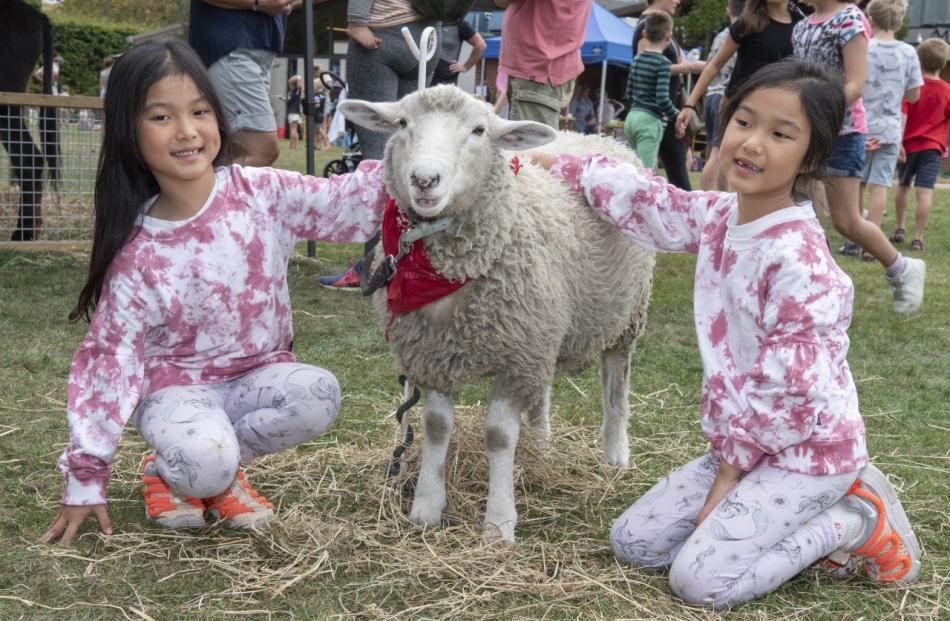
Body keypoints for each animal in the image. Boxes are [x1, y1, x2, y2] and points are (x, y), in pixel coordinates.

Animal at [338, 85, 660, 540]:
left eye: (479, 130)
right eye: (402, 124)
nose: (424, 180)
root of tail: (599, 137)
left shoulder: (514, 359)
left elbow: (499, 437)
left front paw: (499, 523)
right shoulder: (437, 355)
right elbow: (435, 426)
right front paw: (426, 507)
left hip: (625, 315)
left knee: (616, 379)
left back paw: (615, 452)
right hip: (546, 326)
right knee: (544, 390)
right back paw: (540, 446)